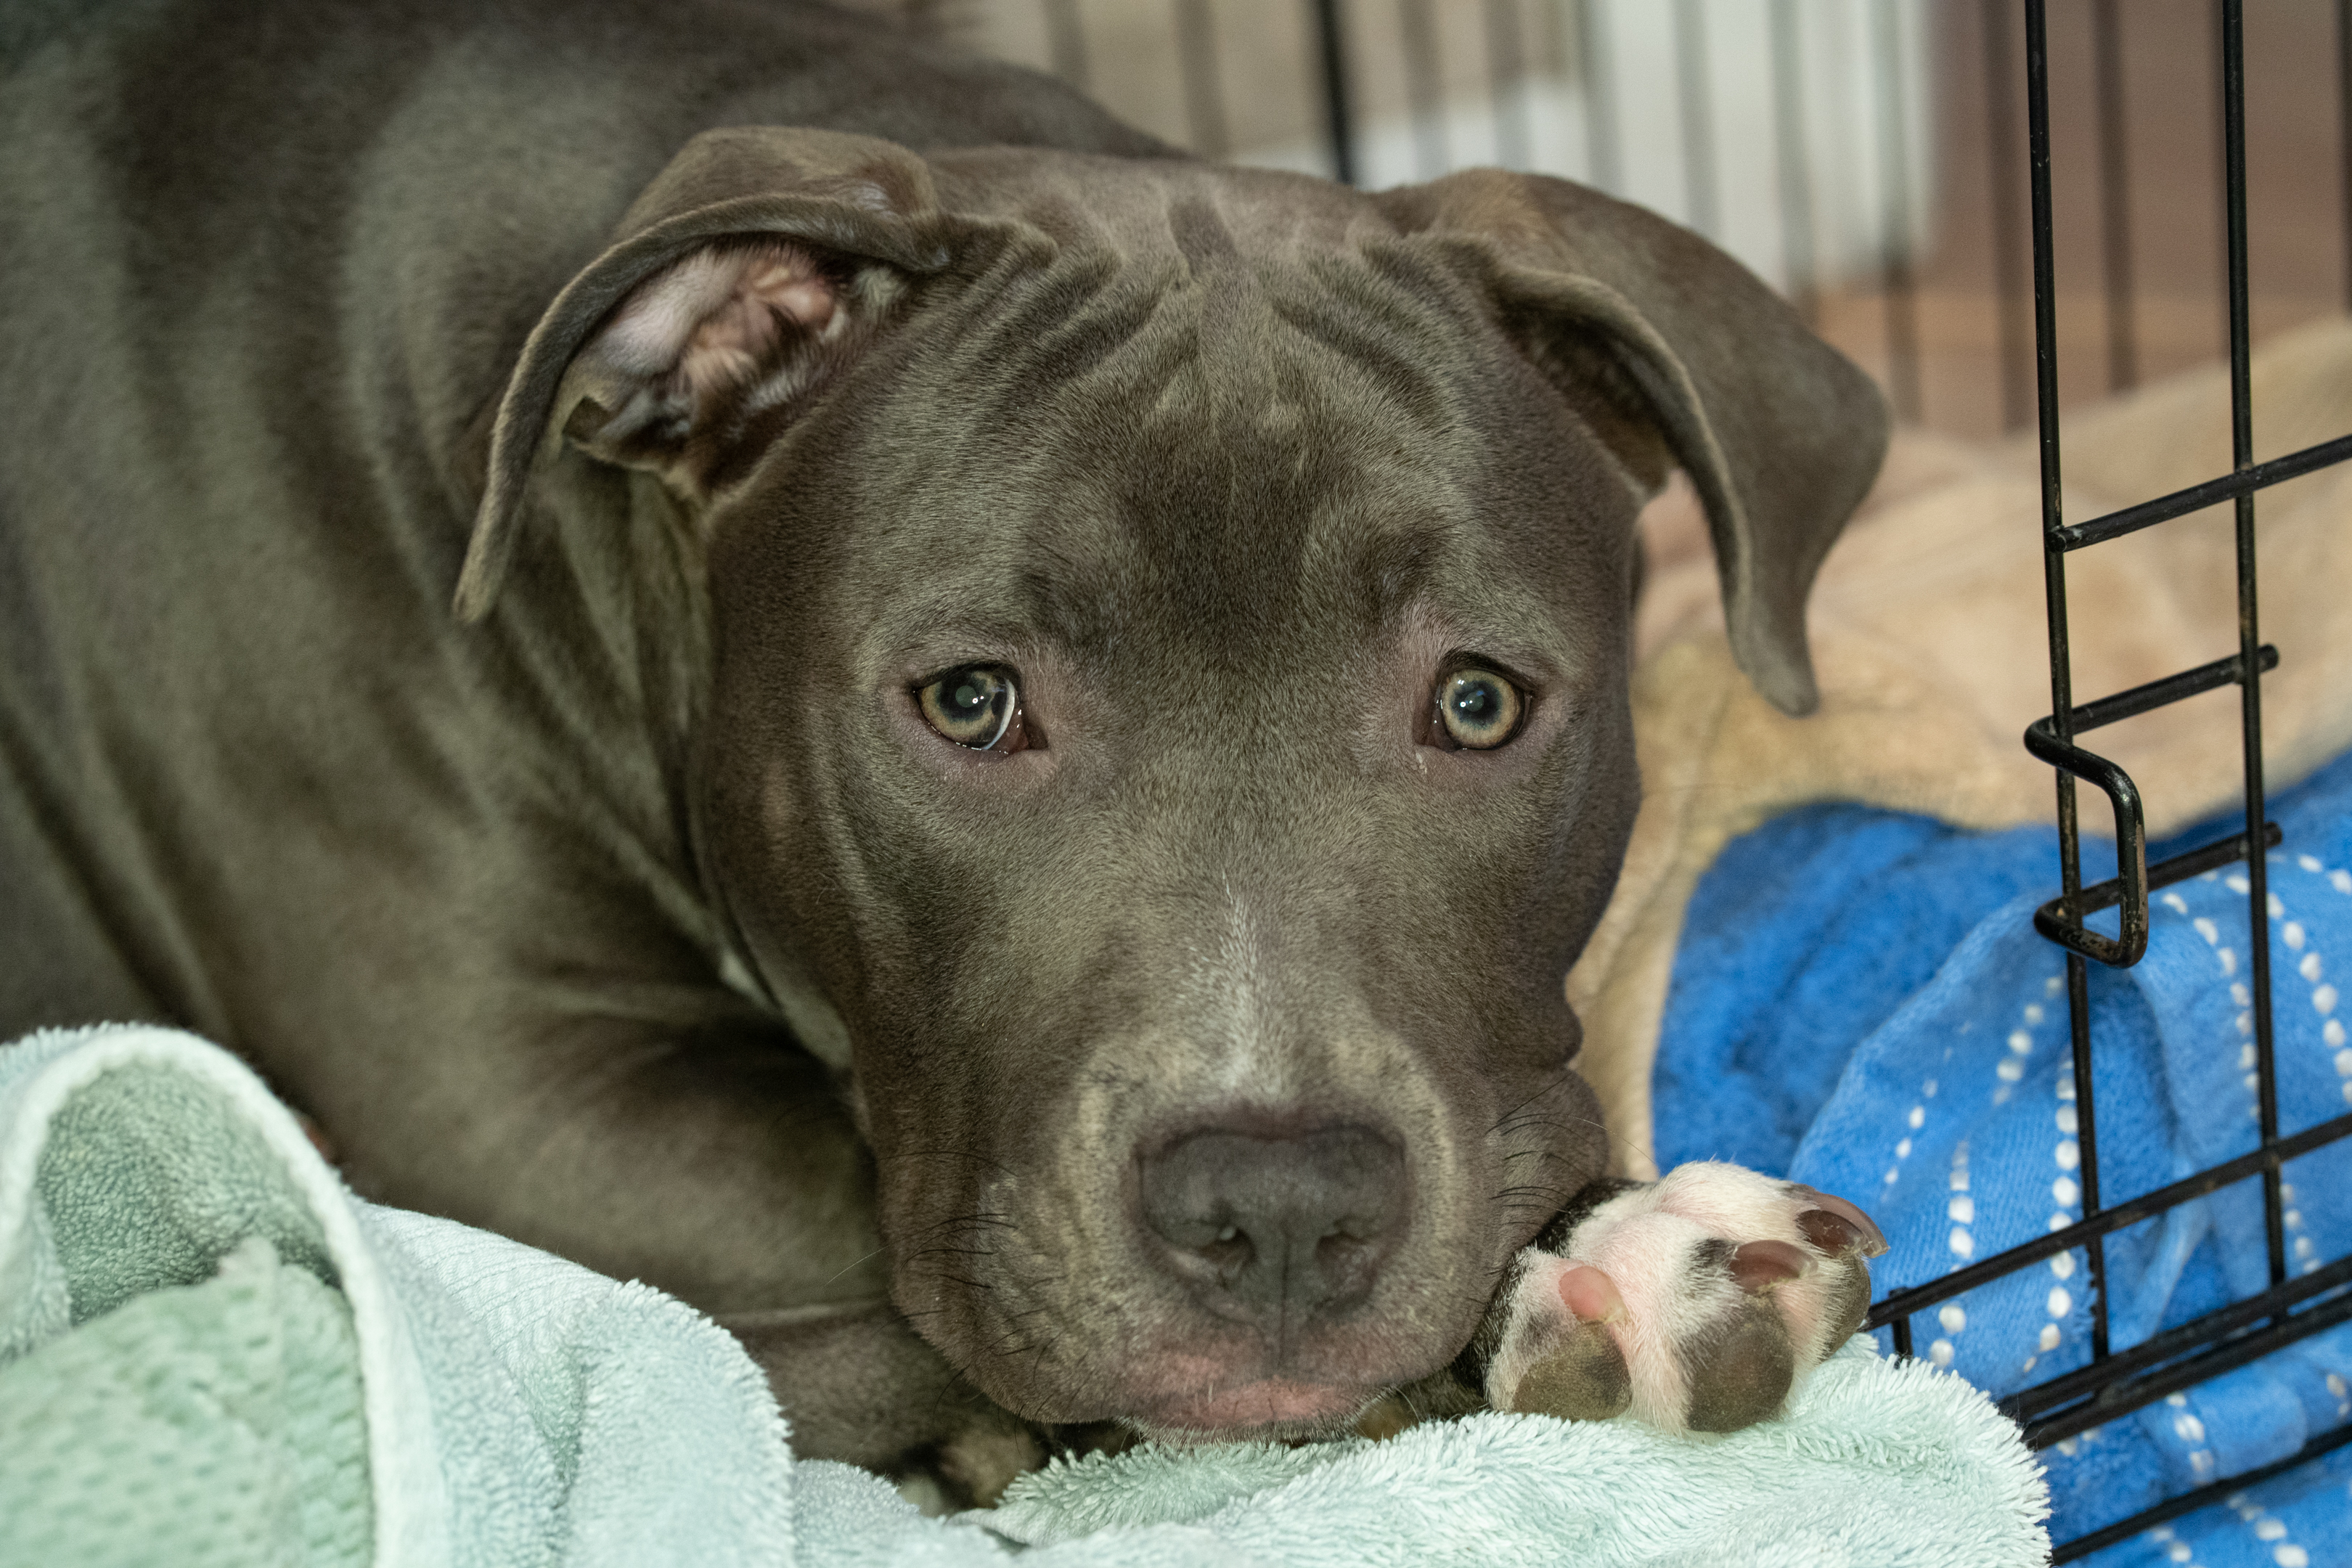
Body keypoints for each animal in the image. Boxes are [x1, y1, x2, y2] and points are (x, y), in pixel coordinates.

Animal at [0, 0, 1882, 1504]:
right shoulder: (493, 1099)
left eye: (1476, 701)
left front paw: (1605, 1243)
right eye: (972, 702)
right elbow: (850, 1240)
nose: (1279, 1206)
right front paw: (1600, 1254)